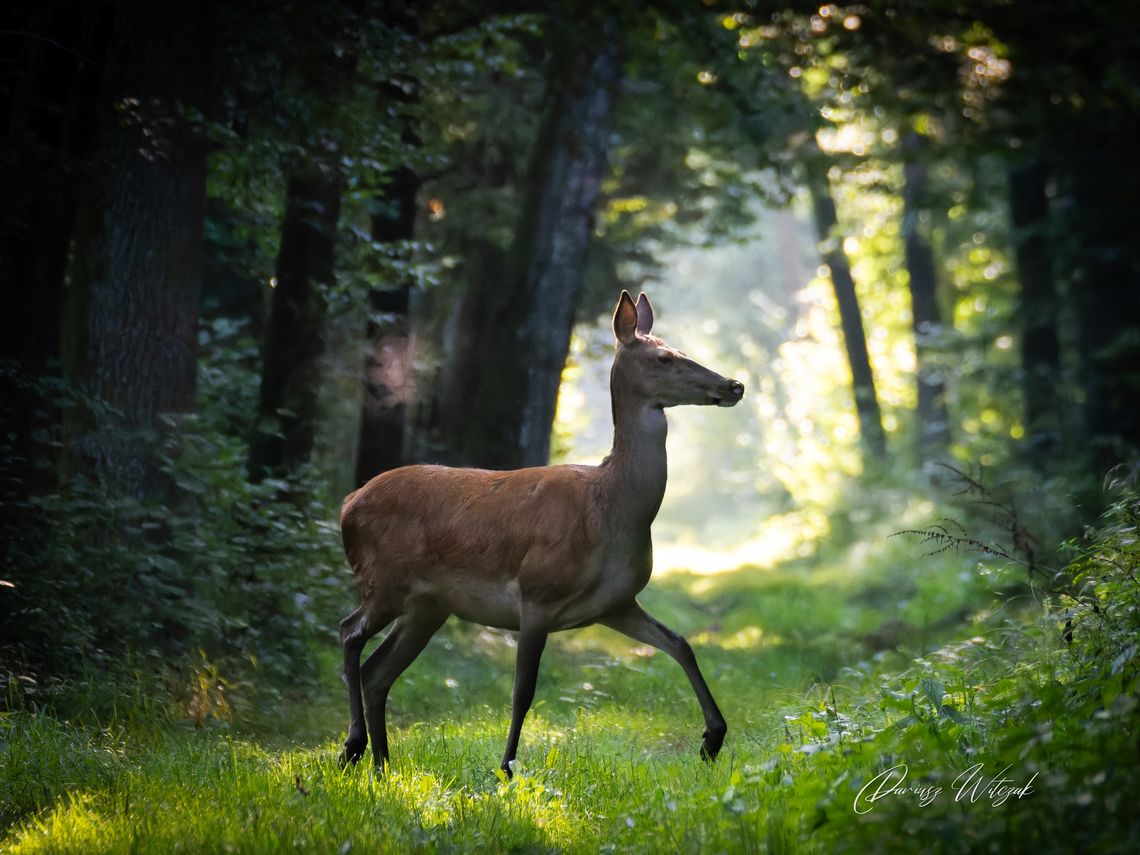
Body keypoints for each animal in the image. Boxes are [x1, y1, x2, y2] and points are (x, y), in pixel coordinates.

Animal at [337, 289, 747, 775]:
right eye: (664, 357)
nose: (733, 385)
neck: (610, 510)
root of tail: (347, 504)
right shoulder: (537, 594)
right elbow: (523, 690)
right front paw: (507, 767)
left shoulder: (616, 603)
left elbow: (681, 644)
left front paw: (713, 738)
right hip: (384, 579)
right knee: (349, 632)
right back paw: (355, 747)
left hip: (428, 605)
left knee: (377, 670)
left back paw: (381, 763)